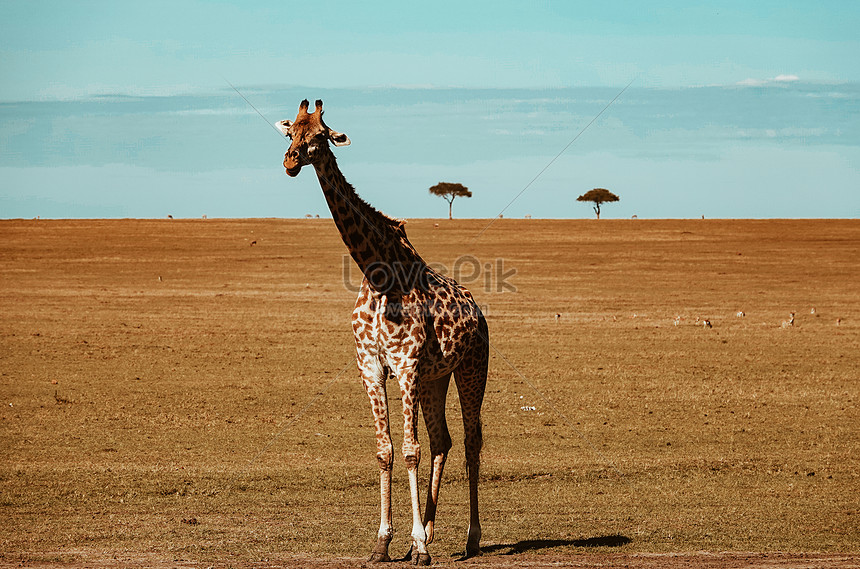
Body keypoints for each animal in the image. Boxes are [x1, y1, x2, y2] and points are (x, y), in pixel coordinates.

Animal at [278, 100, 488, 560]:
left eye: (319, 136)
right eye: (290, 133)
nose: (289, 162)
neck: (376, 273)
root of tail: (479, 313)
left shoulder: (405, 366)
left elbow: (409, 451)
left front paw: (419, 545)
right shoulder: (371, 368)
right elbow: (385, 451)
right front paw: (385, 542)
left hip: (471, 369)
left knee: (471, 441)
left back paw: (469, 537)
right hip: (436, 378)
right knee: (443, 441)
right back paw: (425, 534)